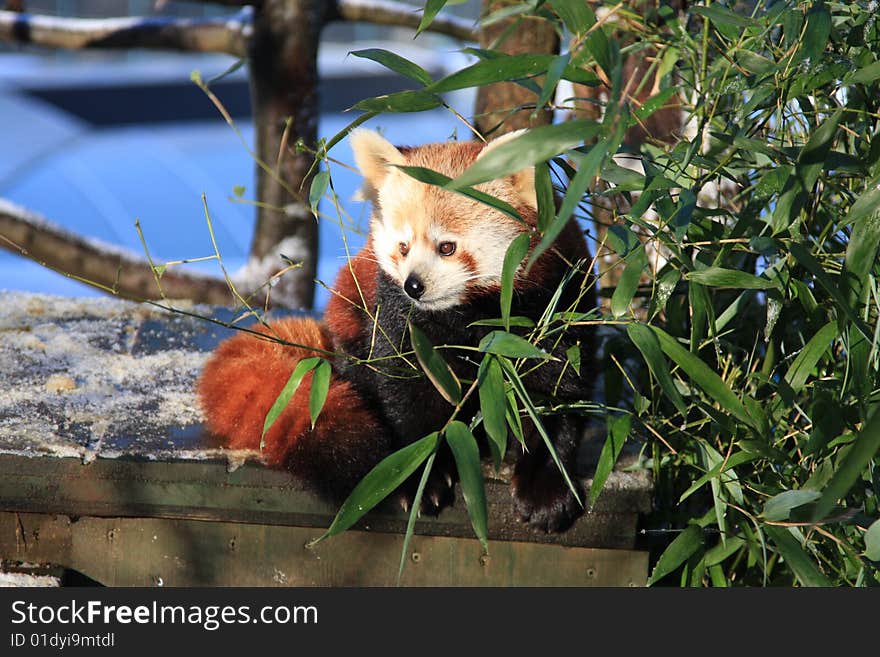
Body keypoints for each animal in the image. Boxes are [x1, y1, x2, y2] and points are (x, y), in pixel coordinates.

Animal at [199, 129, 600, 532]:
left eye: (447, 247)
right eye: (403, 247)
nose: (414, 285)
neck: (475, 315)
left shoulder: (554, 305)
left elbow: (559, 394)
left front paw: (546, 487)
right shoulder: (401, 318)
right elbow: (407, 394)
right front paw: (420, 474)